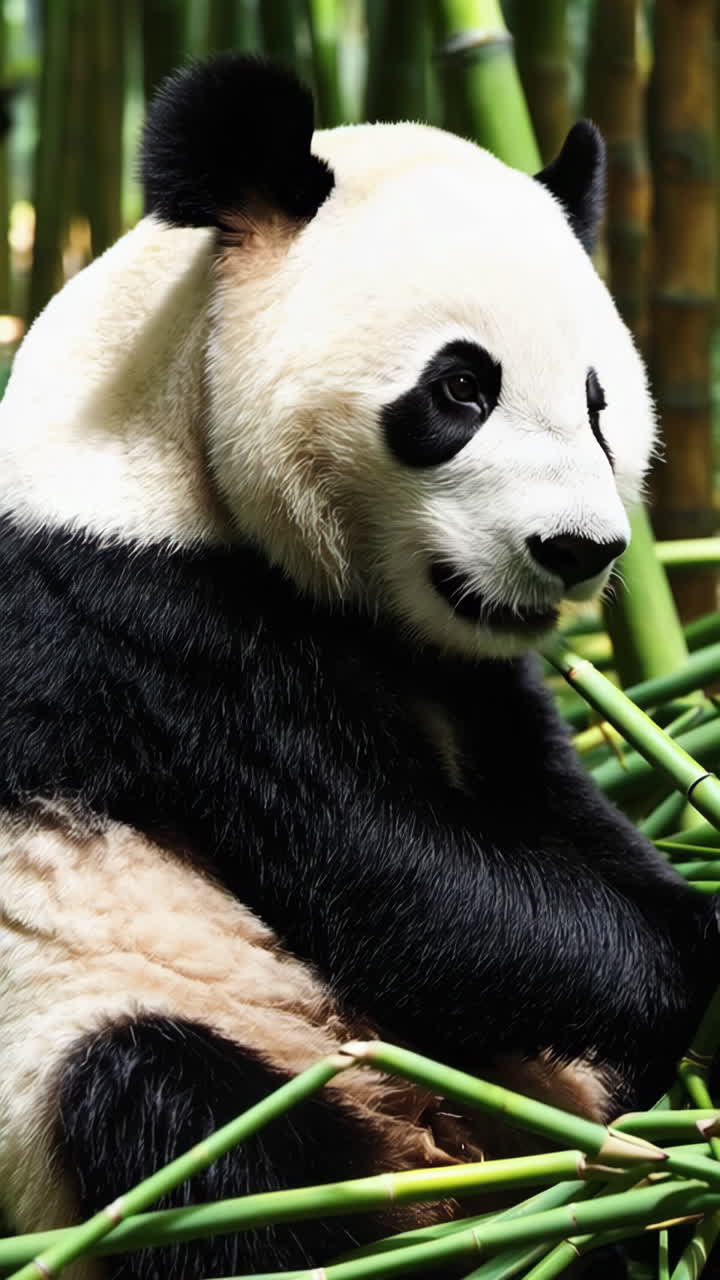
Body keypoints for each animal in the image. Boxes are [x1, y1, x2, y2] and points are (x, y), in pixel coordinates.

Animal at [0, 52, 716, 1280]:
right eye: (461, 387)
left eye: (599, 401)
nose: (577, 549)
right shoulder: (147, 633)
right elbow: (400, 879)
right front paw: (687, 967)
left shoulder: (475, 673)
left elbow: (546, 810)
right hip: (88, 1035)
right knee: (166, 1115)